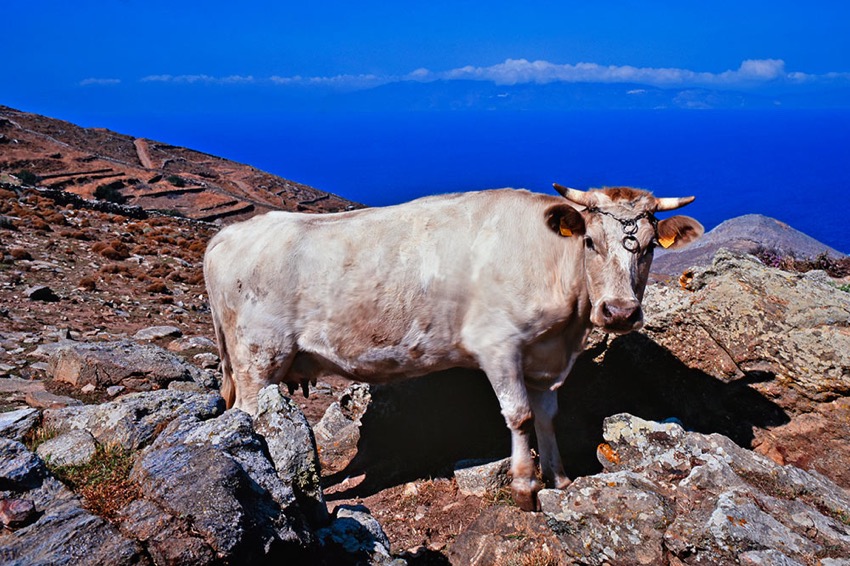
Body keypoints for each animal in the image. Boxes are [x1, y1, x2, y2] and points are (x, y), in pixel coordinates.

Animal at [203, 184, 703, 510]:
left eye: (648, 248)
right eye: (590, 241)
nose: (619, 312)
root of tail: (228, 235)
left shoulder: (546, 359)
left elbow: (546, 416)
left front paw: (559, 479)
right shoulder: (498, 345)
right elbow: (519, 416)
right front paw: (525, 488)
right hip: (258, 359)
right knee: (247, 418)